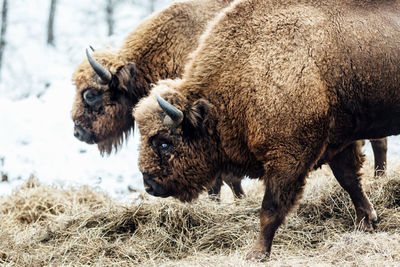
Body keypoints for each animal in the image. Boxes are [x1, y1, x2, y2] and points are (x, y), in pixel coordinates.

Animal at [134, 0, 400, 260]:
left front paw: (256, 253)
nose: (149, 185)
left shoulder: (287, 160)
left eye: (164, 142)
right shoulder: (337, 144)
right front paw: (366, 222)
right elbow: (349, 181)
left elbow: (270, 209)